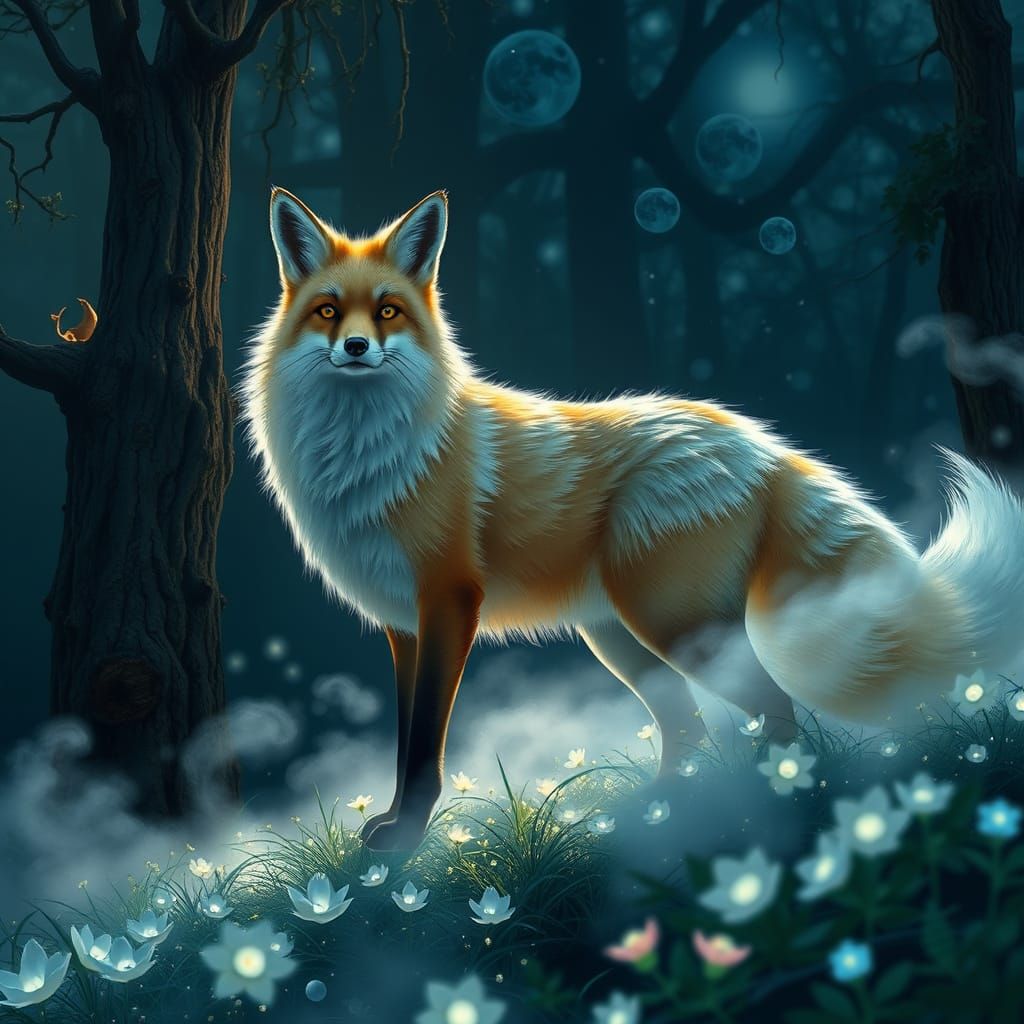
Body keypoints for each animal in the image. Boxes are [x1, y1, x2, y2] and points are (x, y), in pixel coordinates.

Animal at [240, 187, 1024, 850]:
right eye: (328, 311)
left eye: (389, 311)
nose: (356, 349)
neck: (372, 455)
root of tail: (753, 439)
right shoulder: (403, 623)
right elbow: (406, 740)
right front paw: (395, 825)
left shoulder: (449, 602)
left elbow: (426, 744)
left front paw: (406, 843)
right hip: (620, 638)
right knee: (692, 733)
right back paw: (658, 817)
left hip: (676, 626)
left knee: (778, 716)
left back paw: (771, 814)